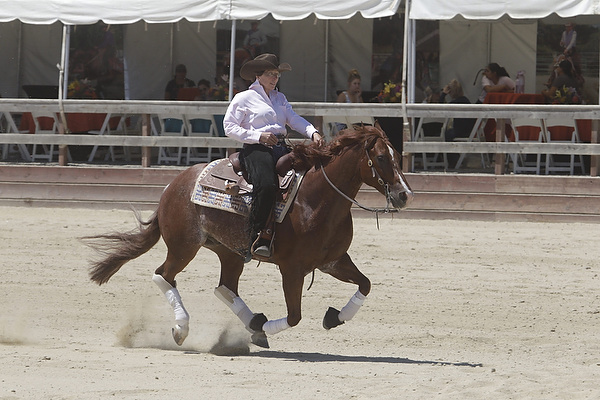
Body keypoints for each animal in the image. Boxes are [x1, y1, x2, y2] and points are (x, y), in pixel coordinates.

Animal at [84, 124, 414, 349]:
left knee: (224, 287)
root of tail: (174, 184)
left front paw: (334, 317)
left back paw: (253, 322)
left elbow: (365, 284)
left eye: (397, 155)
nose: (404, 195)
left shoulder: (333, 261)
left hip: (229, 251)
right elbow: (294, 316)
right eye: (381, 158)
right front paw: (265, 329)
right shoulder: (292, 269)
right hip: (183, 247)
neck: (315, 199)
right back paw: (182, 328)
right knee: (163, 275)